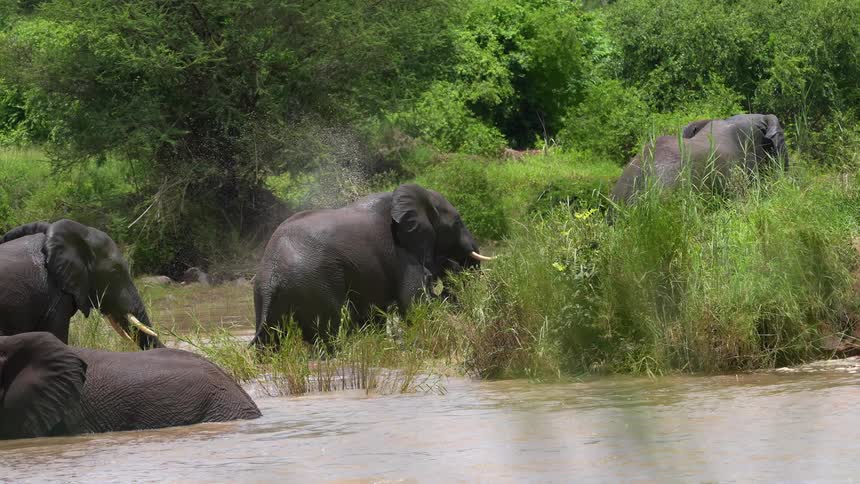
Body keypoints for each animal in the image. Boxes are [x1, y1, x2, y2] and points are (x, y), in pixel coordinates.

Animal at [251, 183, 492, 349]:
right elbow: (415, 303)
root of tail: (272, 276)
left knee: (271, 342)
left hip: (267, 295)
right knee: (331, 332)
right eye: (458, 222)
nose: (451, 263)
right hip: (314, 284)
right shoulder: (401, 253)